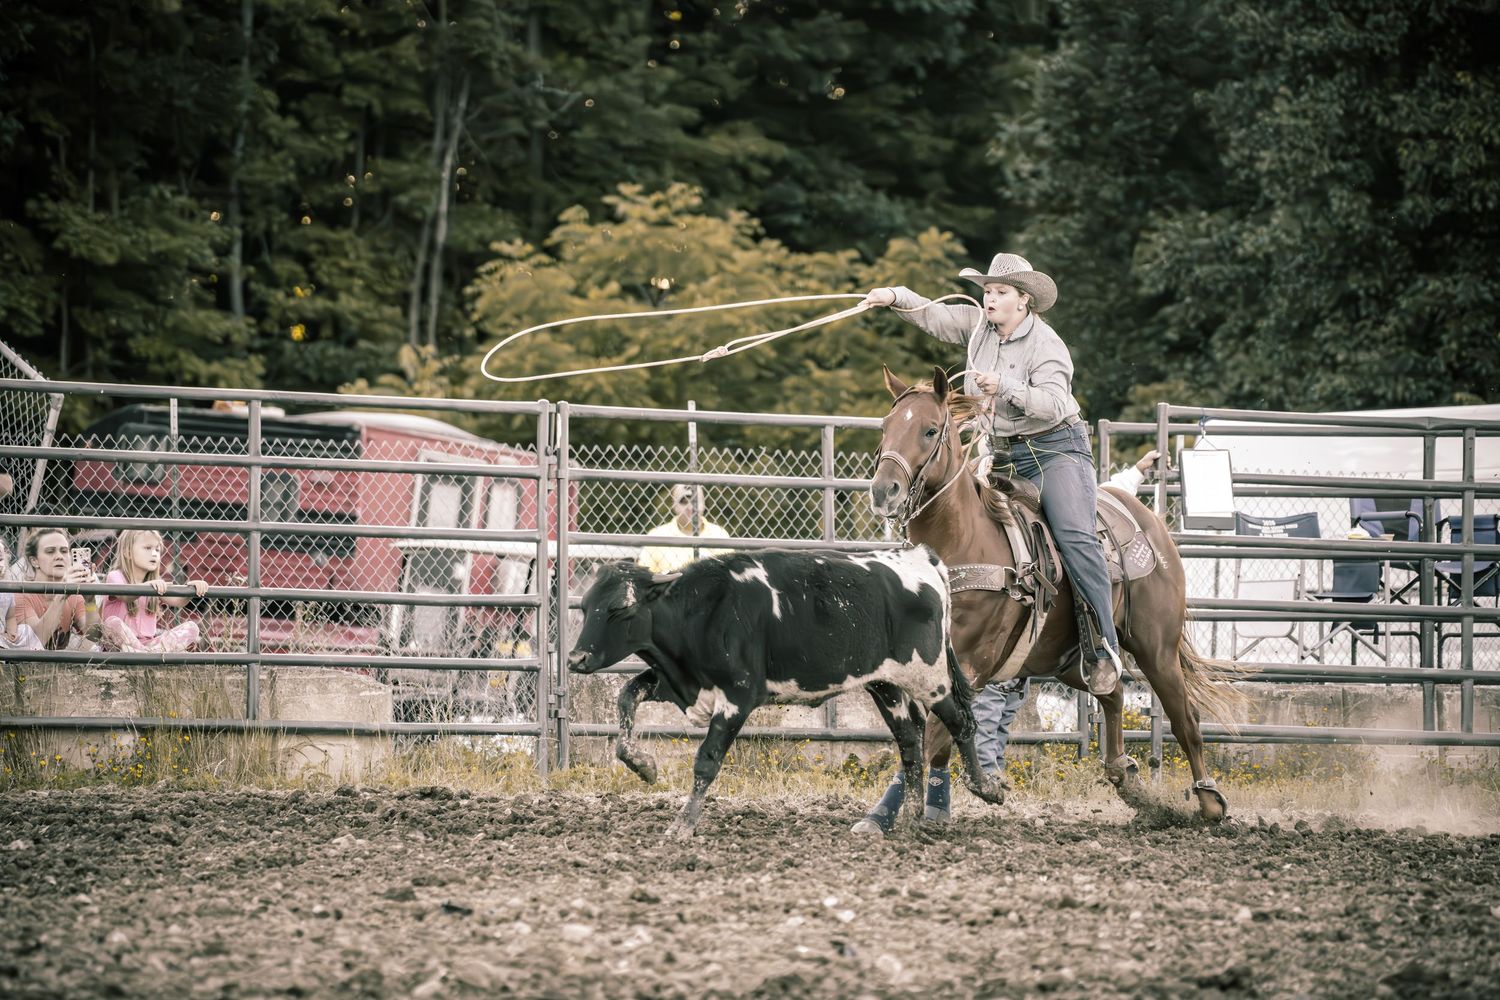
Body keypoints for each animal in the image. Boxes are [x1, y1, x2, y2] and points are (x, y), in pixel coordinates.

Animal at [566, 545, 1005, 838]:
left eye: (621, 608)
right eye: (585, 607)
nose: (575, 658)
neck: (705, 612)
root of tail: (921, 559)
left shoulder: (738, 696)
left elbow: (706, 760)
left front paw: (683, 824)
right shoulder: (680, 684)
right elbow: (626, 696)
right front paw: (643, 765)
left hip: (929, 678)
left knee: (959, 723)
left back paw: (985, 788)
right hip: (886, 685)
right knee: (910, 742)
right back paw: (911, 817)